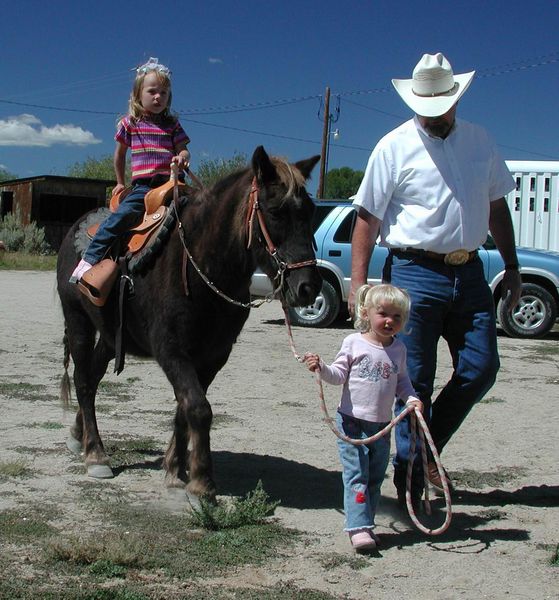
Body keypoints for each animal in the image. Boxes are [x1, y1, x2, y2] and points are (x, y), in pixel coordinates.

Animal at [57, 148, 322, 500]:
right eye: (276, 212)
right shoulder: (171, 351)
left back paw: (79, 435)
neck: (203, 266)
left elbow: (185, 409)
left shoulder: (213, 356)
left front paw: (175, 469)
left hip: (113, 337)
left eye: (310, 212)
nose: (308, 287)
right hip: (78, 322)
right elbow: (198, 408)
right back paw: (96, 454)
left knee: (93, 377)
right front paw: (201, 482)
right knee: (84, 381)